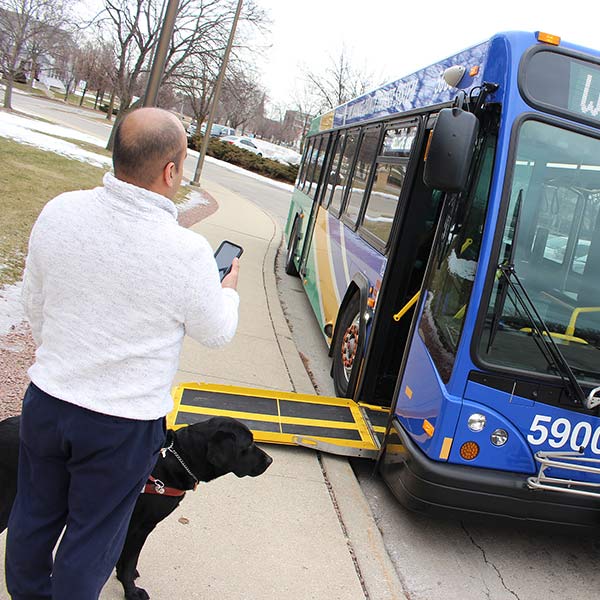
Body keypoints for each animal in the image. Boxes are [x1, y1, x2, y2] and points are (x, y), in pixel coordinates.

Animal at [0, 414, 272, 600]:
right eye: (248, 445)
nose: (270, 460)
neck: (177, 459)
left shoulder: (126, 523)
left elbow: (124, 556)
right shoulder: (141, 524)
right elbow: (130, 558)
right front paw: (131, 590)